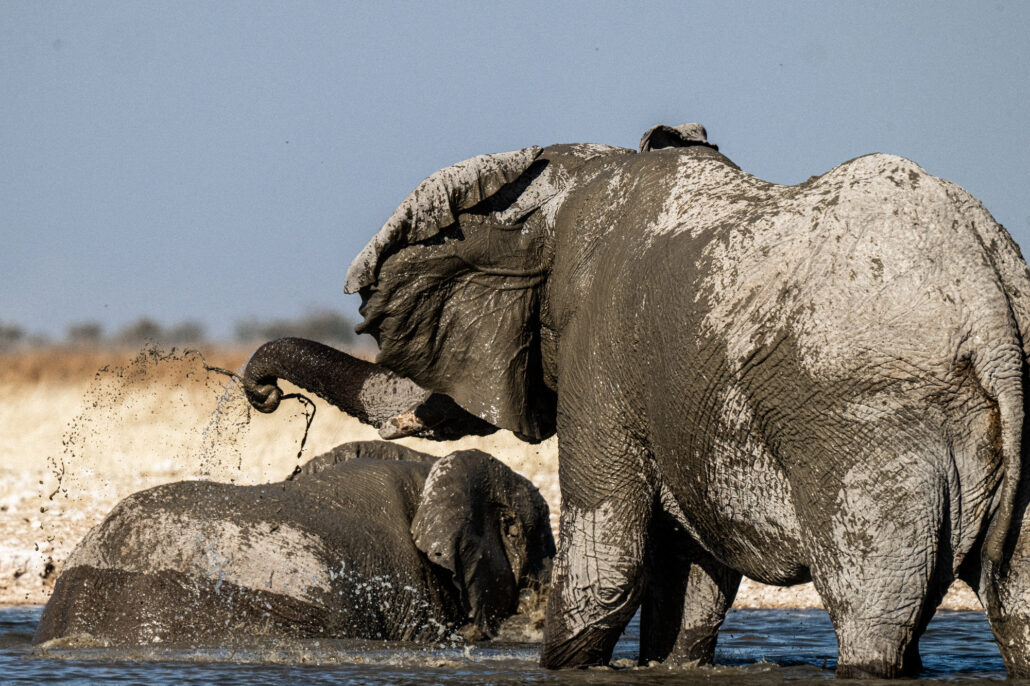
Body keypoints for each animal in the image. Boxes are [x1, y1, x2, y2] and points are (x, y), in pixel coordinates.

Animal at [239, 122, 1030, 678]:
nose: (264, 393)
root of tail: (990, 292)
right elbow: (692, 583)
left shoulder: (602, 352)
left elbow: (606, 564)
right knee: (1016, 603)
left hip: (868, 429)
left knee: (872, 613)